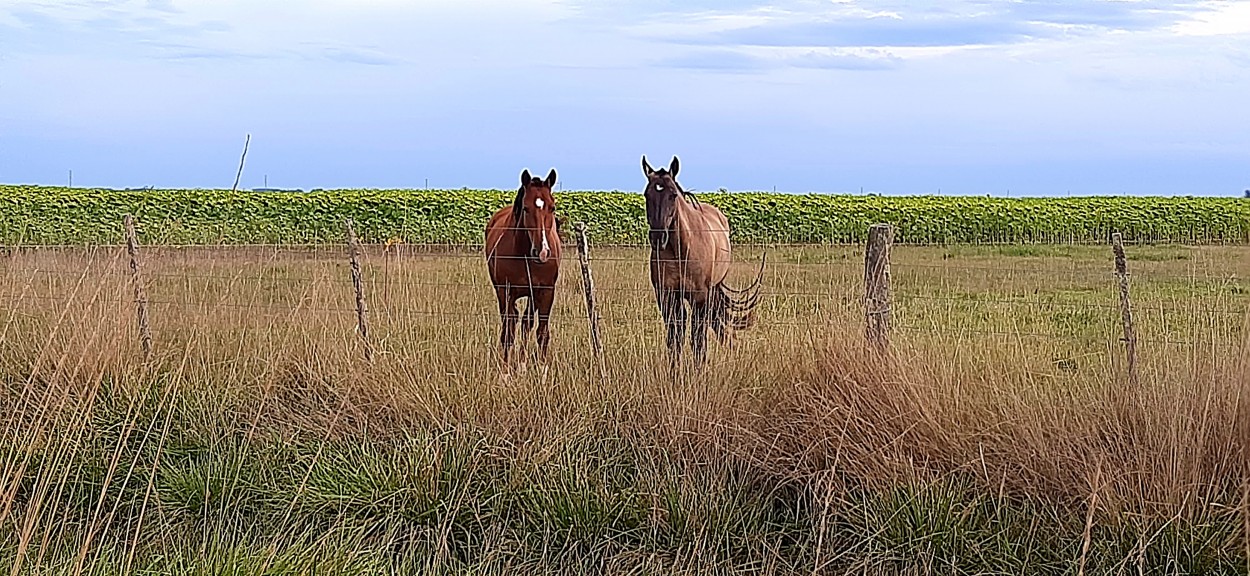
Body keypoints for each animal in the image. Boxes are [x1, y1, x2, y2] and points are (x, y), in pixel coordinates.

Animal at [482, 166, 562, 367]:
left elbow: (541, 332)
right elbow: (508, 333)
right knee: (513, 321)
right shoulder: (506, 291)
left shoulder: (546, 291)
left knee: (526, 322)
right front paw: (506, 368)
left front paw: (540, 367)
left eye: (552, 207)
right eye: (526, 208)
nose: (542, 251)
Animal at [645, 154, 760, 364]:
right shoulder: (666, 296)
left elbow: (698, 339)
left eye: (673, 195)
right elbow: (674, 338)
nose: (658, 237)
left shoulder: (699, 297)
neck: (681, 252)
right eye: (647, 195)